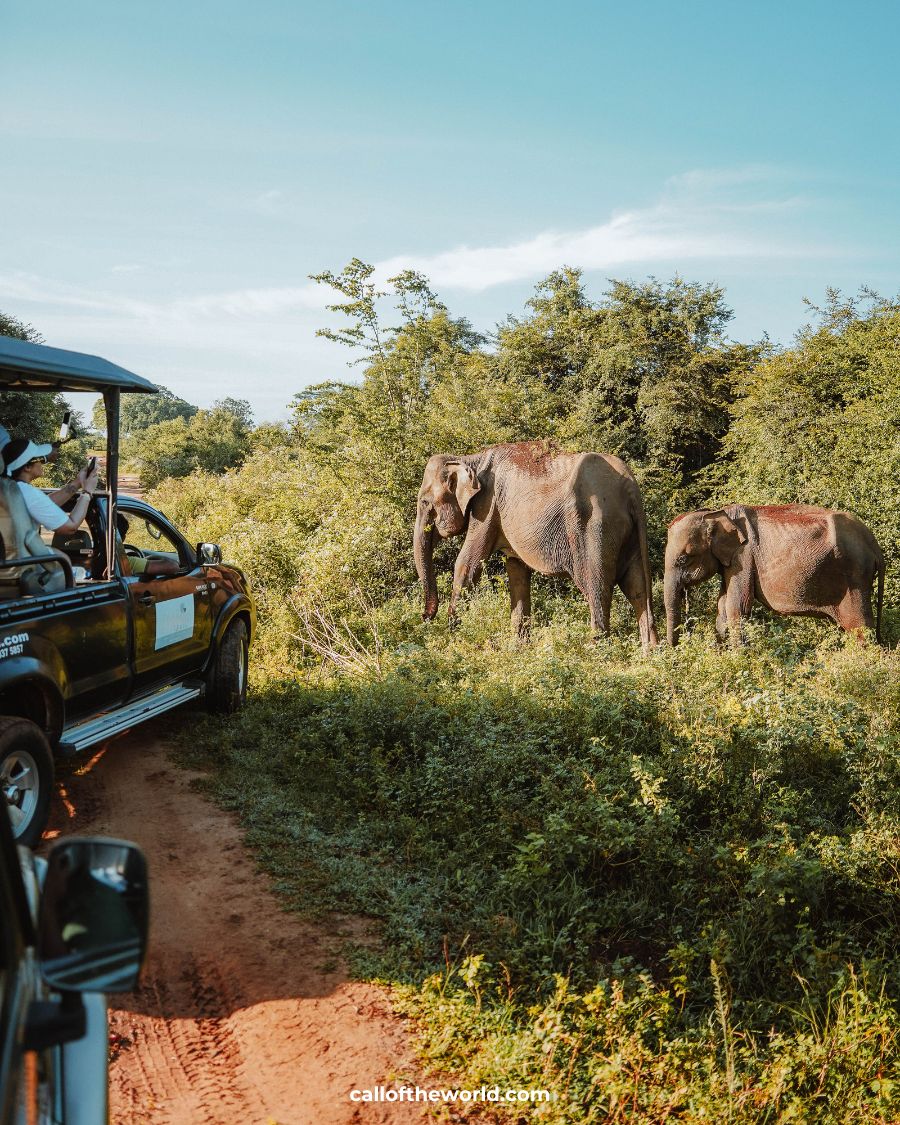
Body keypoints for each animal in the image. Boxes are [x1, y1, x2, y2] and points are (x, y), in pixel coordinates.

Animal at [411, 438, 657, 652]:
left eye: (424, 501)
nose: (425, 617)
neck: (469, 458)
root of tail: (630, 488)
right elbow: (517, 572)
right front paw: (519, 649)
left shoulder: (486, 507)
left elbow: (467, 564)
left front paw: (453, 640)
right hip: (628, 533)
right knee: (637, 587)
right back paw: (650, 654)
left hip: (595, 527)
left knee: (597, 588)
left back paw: (595, 652)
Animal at [661, 506, 886, 648]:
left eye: (683, 559)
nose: (673, 650)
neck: (716, 513)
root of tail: (874, 545)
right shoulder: (731, 563)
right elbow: (722, 608)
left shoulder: (743, 557)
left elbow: (737, 607)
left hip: (855, 575)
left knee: (860, 627)